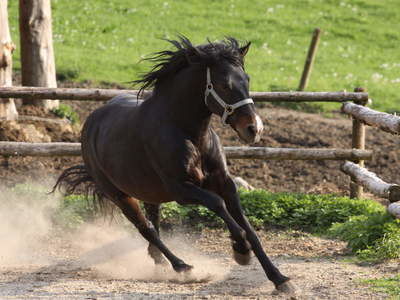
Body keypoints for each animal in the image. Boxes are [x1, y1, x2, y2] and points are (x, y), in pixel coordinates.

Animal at [54, 36, 294, 294]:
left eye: (247, 80)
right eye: (224, 84)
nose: (254, 129)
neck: (190, 134)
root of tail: (91, 122)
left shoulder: (225, 183)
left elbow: (249, 228)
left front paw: (279, 278)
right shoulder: (181, 190)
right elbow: (218, 205)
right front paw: (240, 250)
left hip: (148, 192)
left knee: (153, 223)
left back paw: (160, 260)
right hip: (119, 195)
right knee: (146, 228)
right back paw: (182, 266)